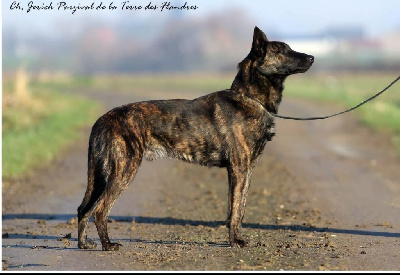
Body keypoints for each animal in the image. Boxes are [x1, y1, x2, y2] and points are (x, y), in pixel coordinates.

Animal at [78, 27, 314, 251]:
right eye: (282, 50)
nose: (311, 57)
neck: (250, 98)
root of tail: (103, 119)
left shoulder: (248, 169)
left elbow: (239, 210)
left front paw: (236, 237)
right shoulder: (238, 169)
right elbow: (235, 209)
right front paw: (235, 241)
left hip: (101, 176)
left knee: (84, 209)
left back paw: (83, 244)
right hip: (123, 171)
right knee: (100, 210)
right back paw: (108, 245)